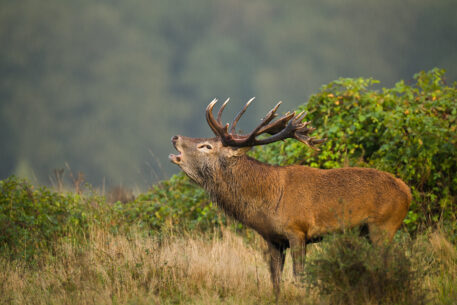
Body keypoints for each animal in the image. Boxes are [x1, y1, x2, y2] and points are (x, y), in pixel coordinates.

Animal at [167, 98, 410, 296]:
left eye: (206, 146)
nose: (175, 137)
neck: (267, 203)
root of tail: (407, 191)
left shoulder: (298, 230)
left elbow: (299, 277)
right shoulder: (273, 238)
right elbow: (275, 281)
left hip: (383, 226)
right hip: (368, 231)